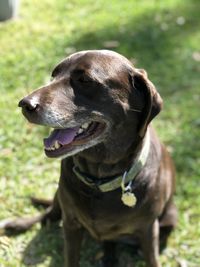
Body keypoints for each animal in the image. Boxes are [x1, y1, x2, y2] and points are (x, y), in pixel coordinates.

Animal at [1, 50, 177, 267]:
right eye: (53, 75)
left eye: (84, 80)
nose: (25, 104)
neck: (98, 179)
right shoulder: (70, 224)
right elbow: (70, 256)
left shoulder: (148, 229)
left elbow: (152, 258)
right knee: (49, 214)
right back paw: (17, 224)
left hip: (170, 217)